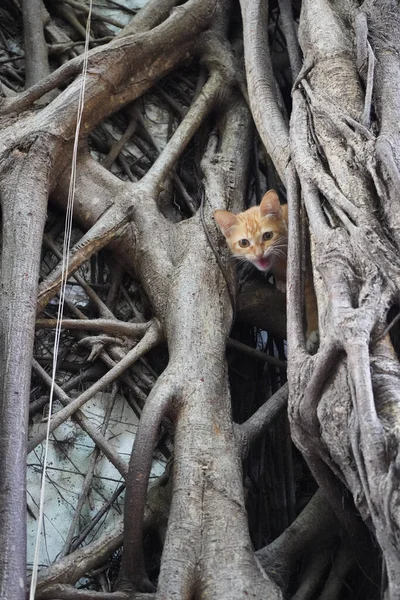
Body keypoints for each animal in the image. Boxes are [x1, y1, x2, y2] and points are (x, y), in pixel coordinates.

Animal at [214, 189, 318, 338]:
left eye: (267, 236)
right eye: (244, 243)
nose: (259, 253)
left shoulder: (306, 263)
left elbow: (312, 299)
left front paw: (313, 329)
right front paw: (280, 281)